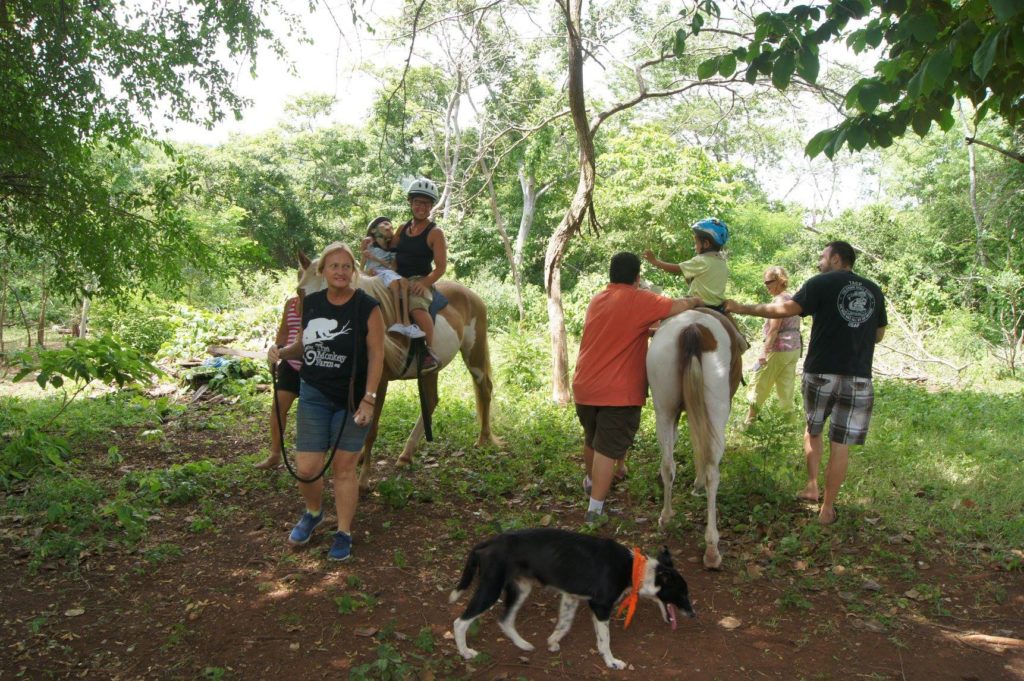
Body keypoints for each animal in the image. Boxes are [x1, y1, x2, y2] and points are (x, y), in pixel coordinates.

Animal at [296, 253, 499, 489]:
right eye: (301, 292)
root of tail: (473, 297)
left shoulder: (379, 382)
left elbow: (370, 430)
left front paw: (363, 480)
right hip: (430, 370)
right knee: (432, 400)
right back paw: (406, 454)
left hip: (474, 353)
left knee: (484, 388)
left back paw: (484, 439)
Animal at [450, 528, 696, 667]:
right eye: (682, 593)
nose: (694, 614)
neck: (635, 569)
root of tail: (487, 543)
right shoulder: (600, 606)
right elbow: (605, 639)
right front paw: (611, 662)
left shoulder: (571, 598)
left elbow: (564, 624)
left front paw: (552, 641)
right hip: (490, 589)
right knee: (460, 622)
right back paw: (466, 652)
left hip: (520, 589)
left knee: (505, 620)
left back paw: (523, 645)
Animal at [647, 307, 745, 569]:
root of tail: (693, 328)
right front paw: (697, 483)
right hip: (717, 411)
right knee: (712, 471)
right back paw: (712, 548)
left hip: (664, 409)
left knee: (668, 464)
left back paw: (665, 516)